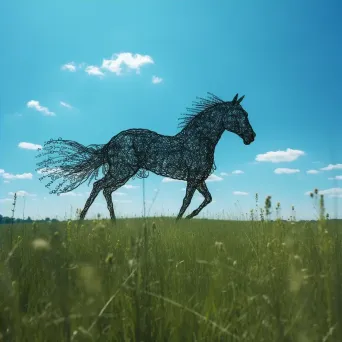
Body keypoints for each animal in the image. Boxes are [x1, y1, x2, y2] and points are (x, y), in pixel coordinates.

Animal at [36, 93, 256, 222]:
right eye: (240, 114)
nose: (251, 137)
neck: (200, 140)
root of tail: (111, 142)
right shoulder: (193, 178)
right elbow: (186, 201)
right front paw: (178, 222)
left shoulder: (199, 179)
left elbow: (207, 200)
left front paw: (187, 219)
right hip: (122, 170)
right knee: (99, 185)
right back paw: (83, 219)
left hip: (123, 173)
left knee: (106, 190)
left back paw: (112, 222)